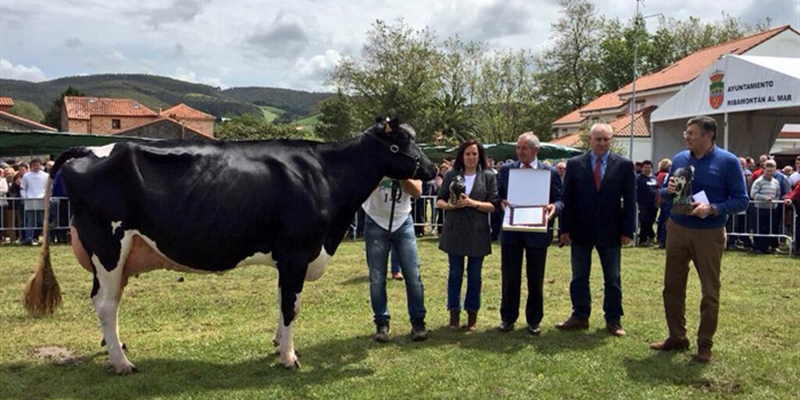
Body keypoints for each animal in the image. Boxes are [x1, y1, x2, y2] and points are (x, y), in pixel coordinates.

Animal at [23, 118, 438, 372]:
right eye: (401, 144)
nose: (433, 169)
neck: (324, 174)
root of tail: (88, 150)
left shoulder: (292, 257)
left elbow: (286, 301)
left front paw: (278, 344)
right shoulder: (296, 252)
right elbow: (291, 304)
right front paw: (288, 356)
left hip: (120, 255)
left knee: (108, 302)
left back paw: (117, 351)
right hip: (109, 245)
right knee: (106, 304)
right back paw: (123, 365)